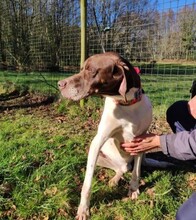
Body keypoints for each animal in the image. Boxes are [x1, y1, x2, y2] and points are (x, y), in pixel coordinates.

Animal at [57, 52, 152, 219]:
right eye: (82, 68)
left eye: (90, 70)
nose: (59, 84)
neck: (127, 106)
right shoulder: (97, 142)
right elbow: (87, 184)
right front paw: (83, 209)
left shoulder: (141, 141)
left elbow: (136, 172)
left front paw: (134, 189)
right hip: (98, 156)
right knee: (120, 168)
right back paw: (114, 179)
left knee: (126, 168)